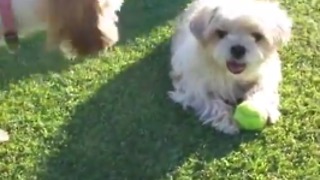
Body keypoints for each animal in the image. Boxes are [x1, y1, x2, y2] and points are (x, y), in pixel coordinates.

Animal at [170, 0, 292, 134]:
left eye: (257, 36)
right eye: (220, 33)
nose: (238, 49)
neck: (230, 74)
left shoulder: (266, 74)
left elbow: (261, 89)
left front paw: (262, 107)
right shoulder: (194, 87)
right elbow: (212, 102)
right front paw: (227, 121)